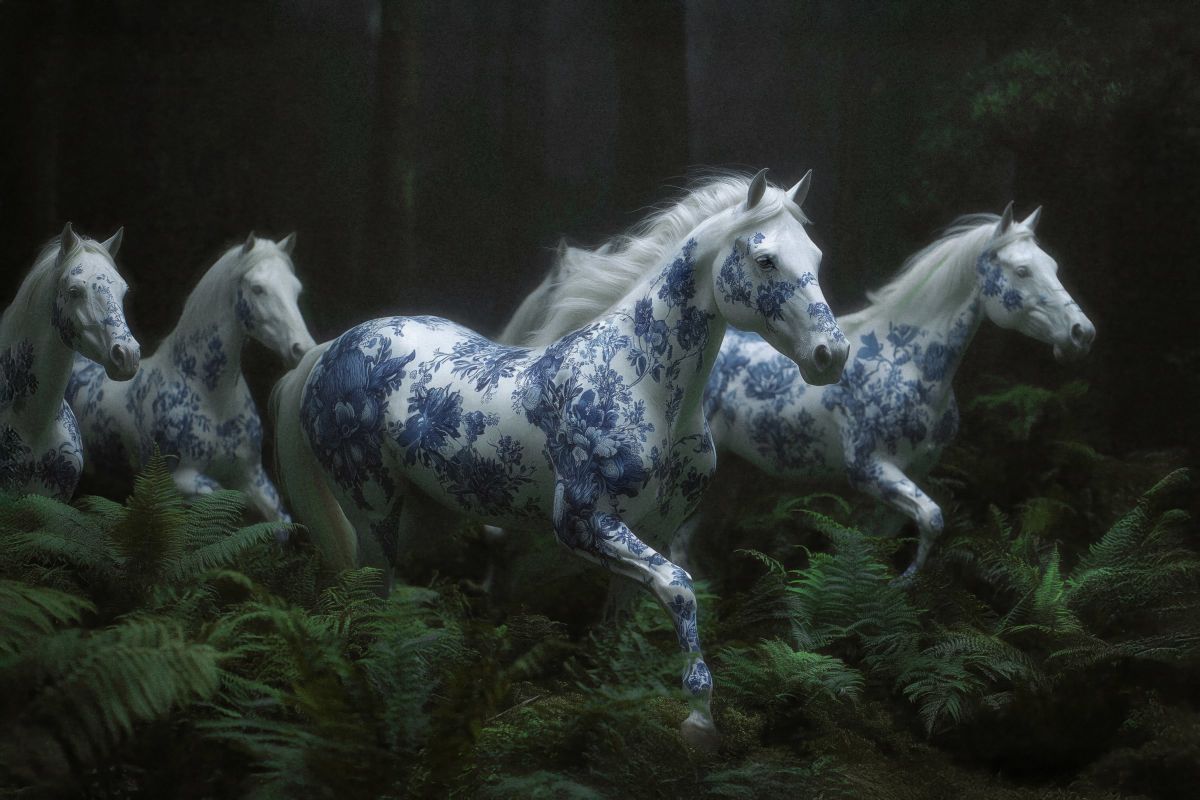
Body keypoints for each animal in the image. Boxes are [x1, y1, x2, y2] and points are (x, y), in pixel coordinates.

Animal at [67, 232, 315, 520]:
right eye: (257, 288)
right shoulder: (181, 480)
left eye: (296, 289)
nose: (301, 349)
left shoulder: (254, 478)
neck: (211, 397)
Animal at [270, 170, 849, 747]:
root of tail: (329, 350)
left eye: (818, 256)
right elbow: (681, 589)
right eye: (765, 259)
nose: (832, 355)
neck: (641, 382)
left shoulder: (653, 532)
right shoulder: (581, 524)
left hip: (427, 514)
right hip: (373, 507)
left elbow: (624, 620)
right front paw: (699, 720)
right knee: (369, 591)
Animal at [679, 204, 1095, 579]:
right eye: (1022, 271)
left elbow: (882, 536)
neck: (908, 363)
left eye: (1053, 266)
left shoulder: (911, 471)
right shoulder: (870, 468)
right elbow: (931, 519)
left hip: (729, 472)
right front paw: (903, 583)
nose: (1082, 332)